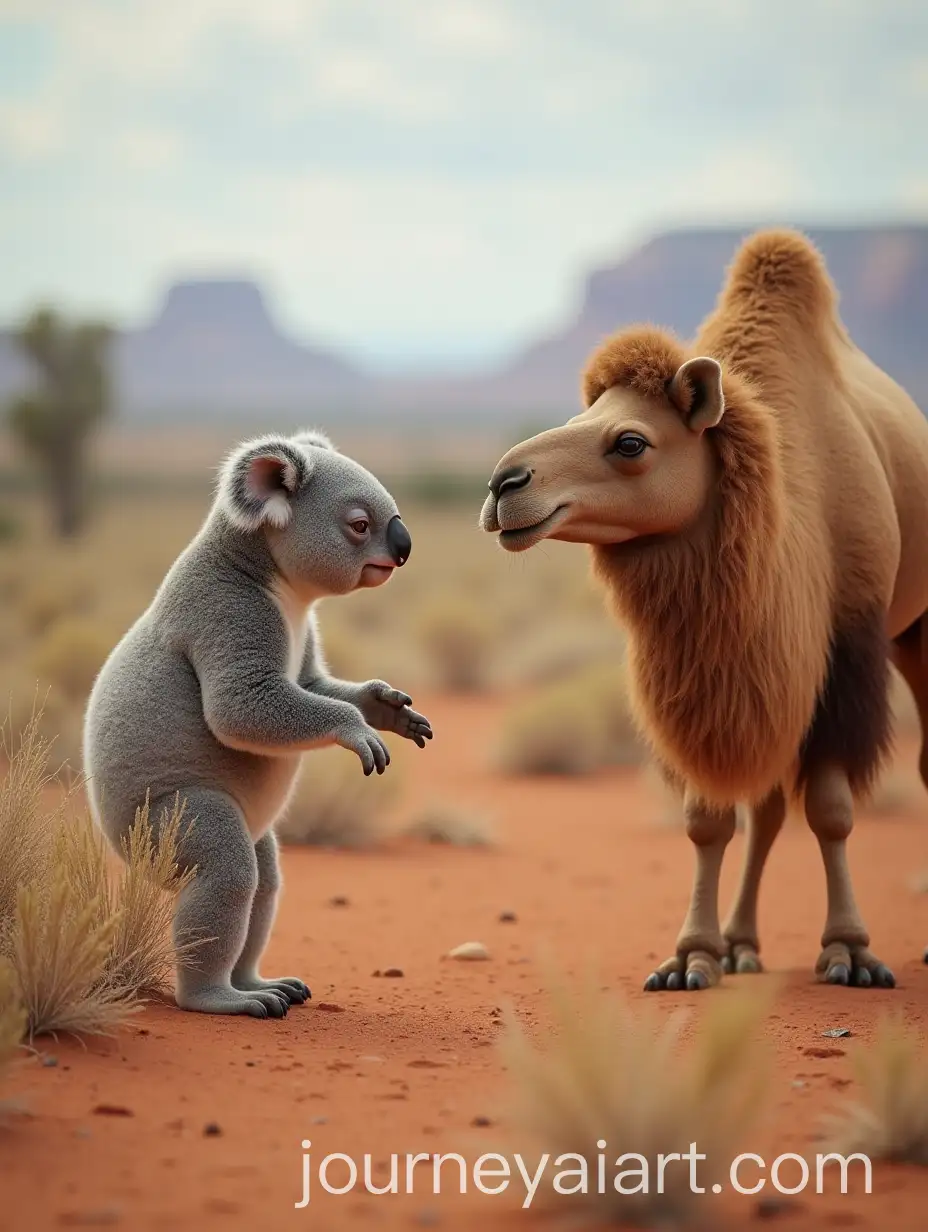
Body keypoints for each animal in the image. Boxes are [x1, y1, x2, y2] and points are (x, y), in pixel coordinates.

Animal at [481, 228, 928, 991]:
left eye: (630, 441)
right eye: (577, 417)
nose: (504, 485)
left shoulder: (847, 650)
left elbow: (832, 811)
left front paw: (849, 951)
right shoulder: (715, 678)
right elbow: (709, 818)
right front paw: (695, 955)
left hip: (916, 631)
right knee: (768, 808)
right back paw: (743, 945)